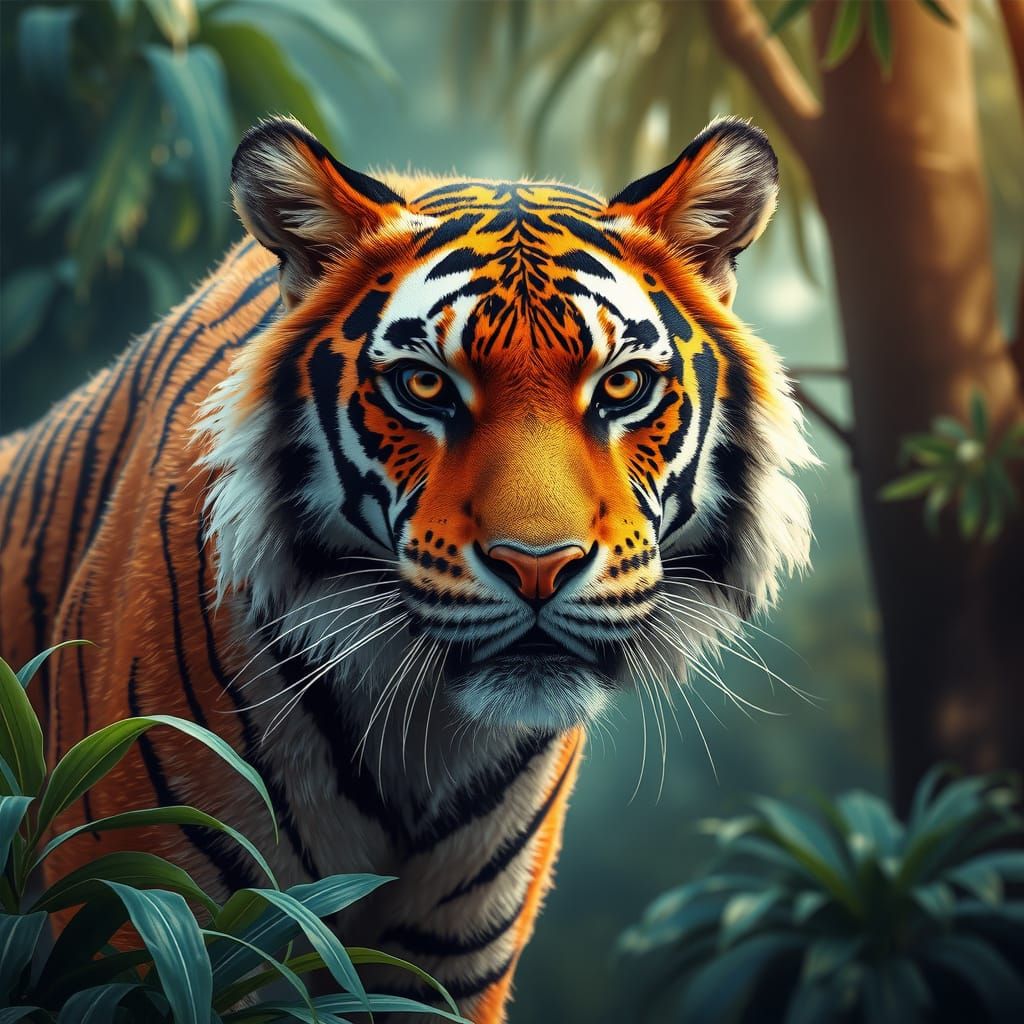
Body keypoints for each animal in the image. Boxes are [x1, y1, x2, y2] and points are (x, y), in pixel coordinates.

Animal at [0, 115, 812, 1022]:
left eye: (624, 385)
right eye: (425, 386)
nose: (539, 567)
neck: (421, 738)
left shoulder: (448, 969)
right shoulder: (135, 921)